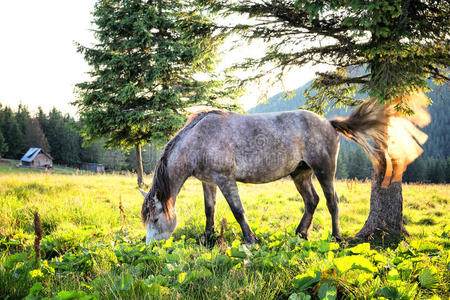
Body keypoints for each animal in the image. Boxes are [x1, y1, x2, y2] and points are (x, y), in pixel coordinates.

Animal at [140, 99, 390, 245]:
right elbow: (209, 209)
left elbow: (238, 210)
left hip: (324, 170)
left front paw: (251, 239)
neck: (199, 139)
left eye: (155, 218)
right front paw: (207, 237)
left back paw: (336, 237)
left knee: (332, 201)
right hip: (301, 174)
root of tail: (328, 123)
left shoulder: (225, 179)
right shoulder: (208, 182)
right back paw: (301, 233)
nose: (150, 247)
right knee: (312, 200)